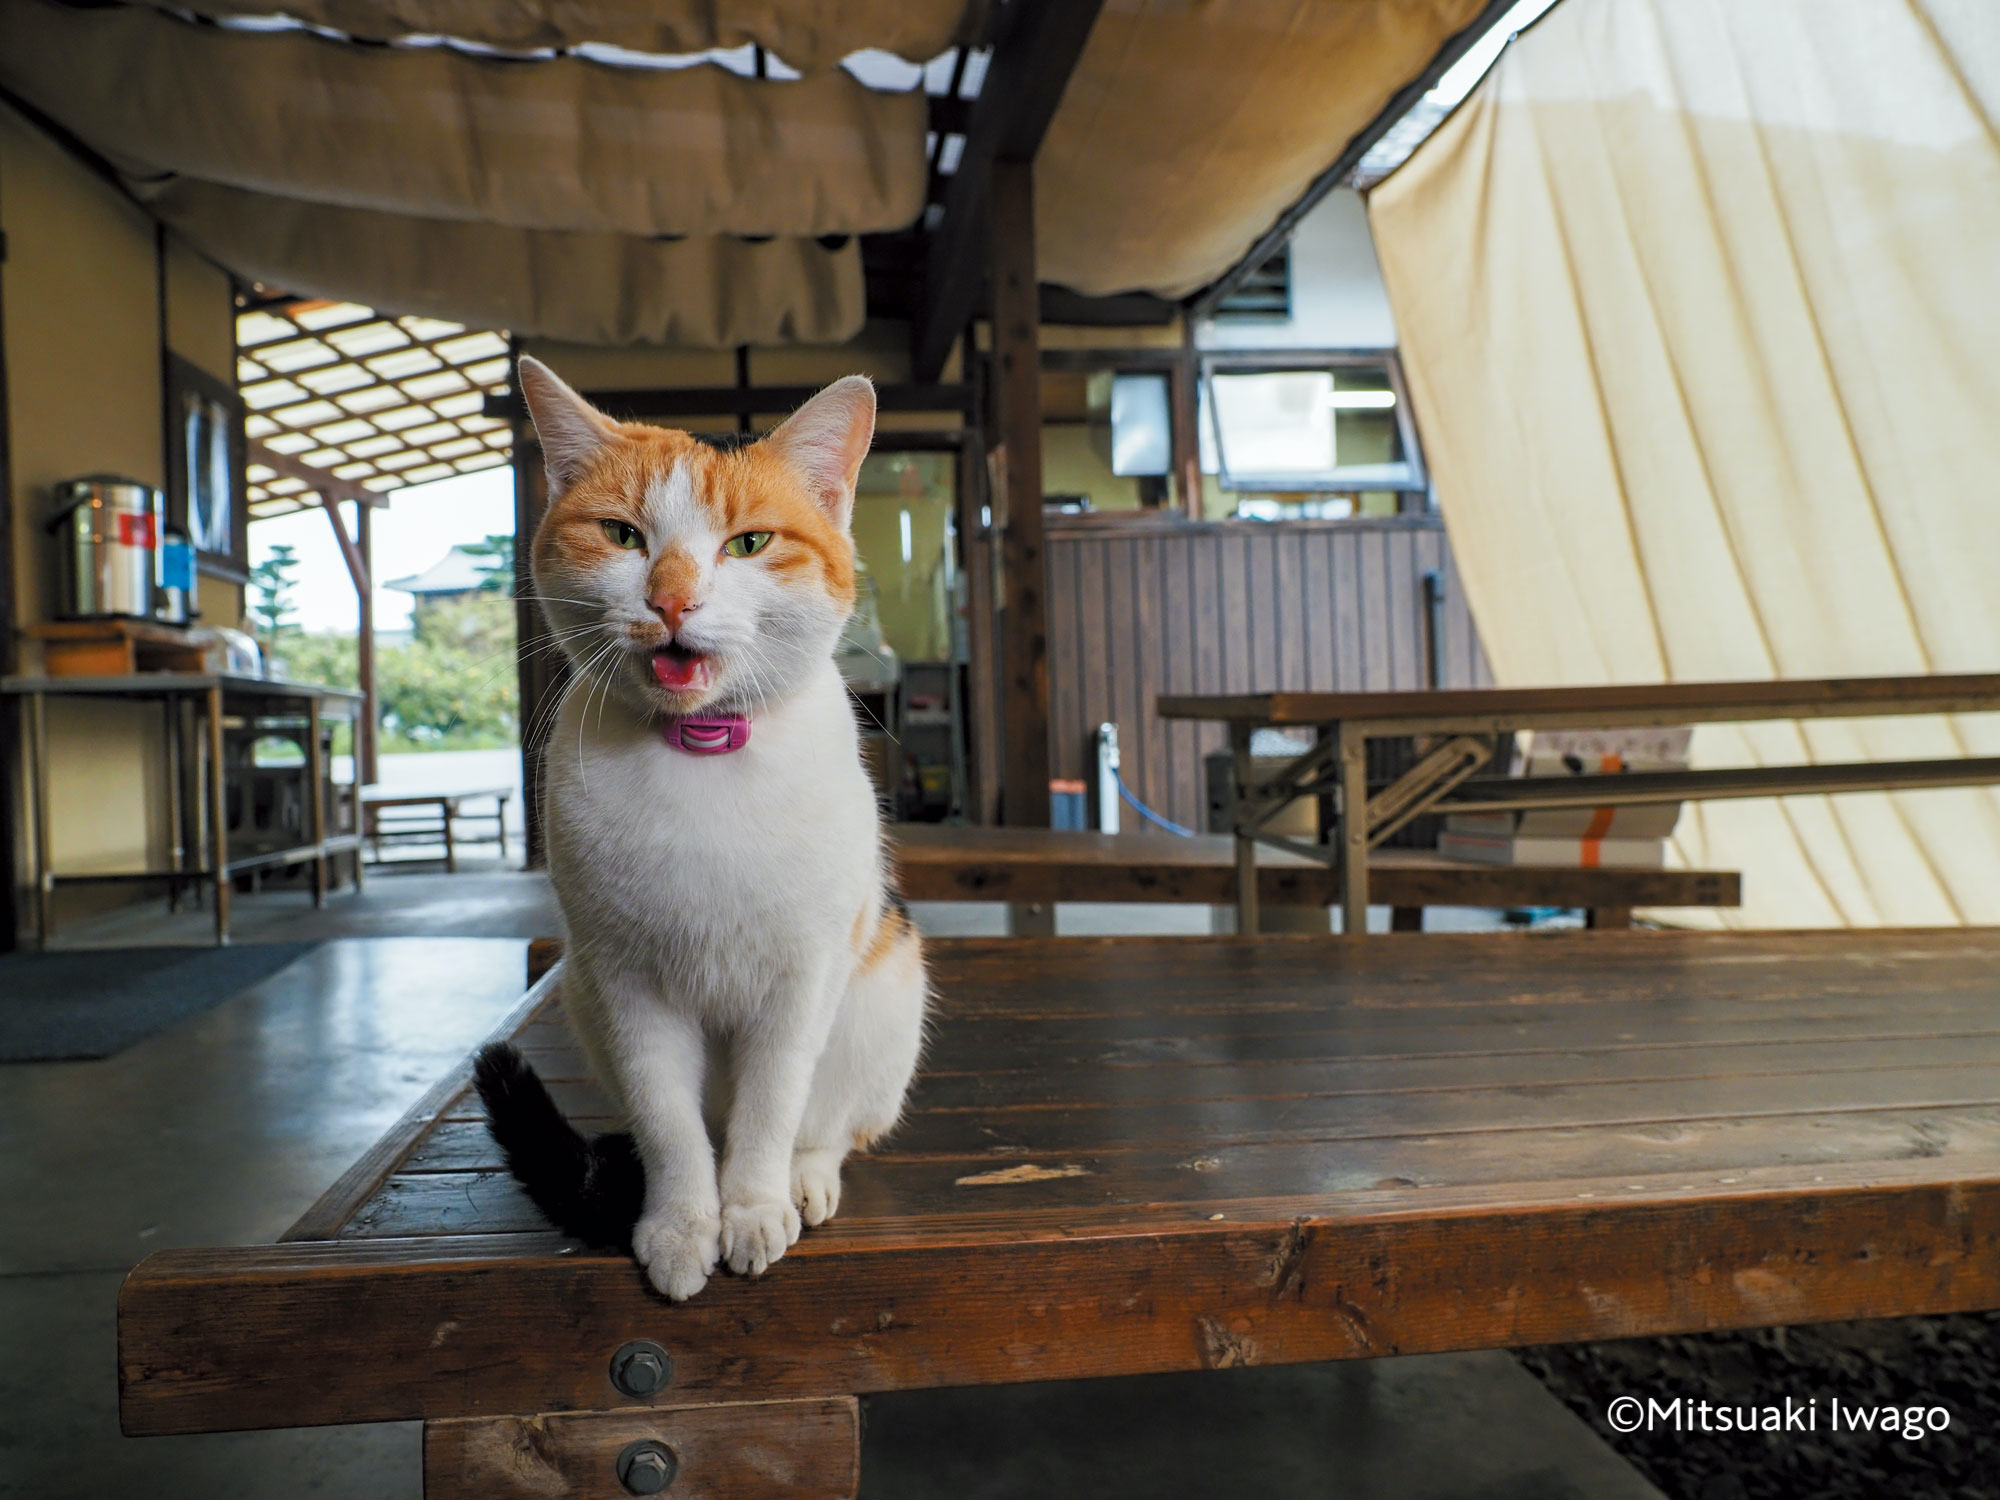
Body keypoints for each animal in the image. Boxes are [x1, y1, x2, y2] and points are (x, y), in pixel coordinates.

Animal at [474, 356, 928, 1304]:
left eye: (748, 544)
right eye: (621, 534)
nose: (672, 599)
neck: (703, 754)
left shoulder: (801, 978)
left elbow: (770, 1109)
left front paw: (752, 1210)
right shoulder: (625, 983)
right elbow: (669, 1124)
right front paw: (683, 1227)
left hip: (884, 1001)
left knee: (827, 1125)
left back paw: (804, 1180)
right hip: (579, 992)